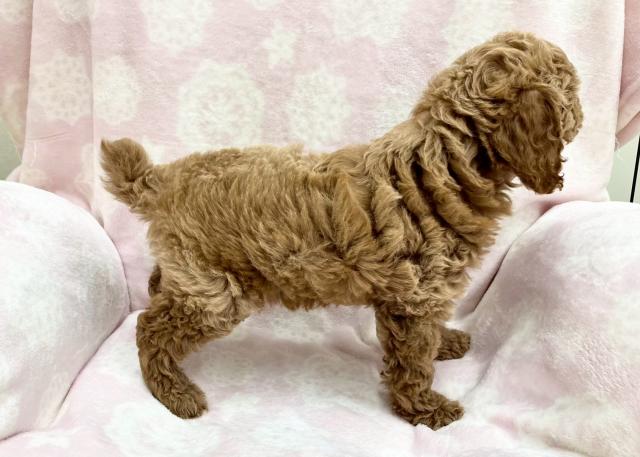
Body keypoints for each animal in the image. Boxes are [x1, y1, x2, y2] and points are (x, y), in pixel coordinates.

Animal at [101, 31, 582, 430]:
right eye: (572, 91)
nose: (581, 110)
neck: (446, 158)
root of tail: (163, 178)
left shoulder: (418, 295)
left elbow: (425, 339)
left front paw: (443, 344)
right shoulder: (415, 296)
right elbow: (414, 360)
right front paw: (426, 408)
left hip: (192, 271)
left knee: (160, 289)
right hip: (218, 294)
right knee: (150, 327)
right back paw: (174, 391)